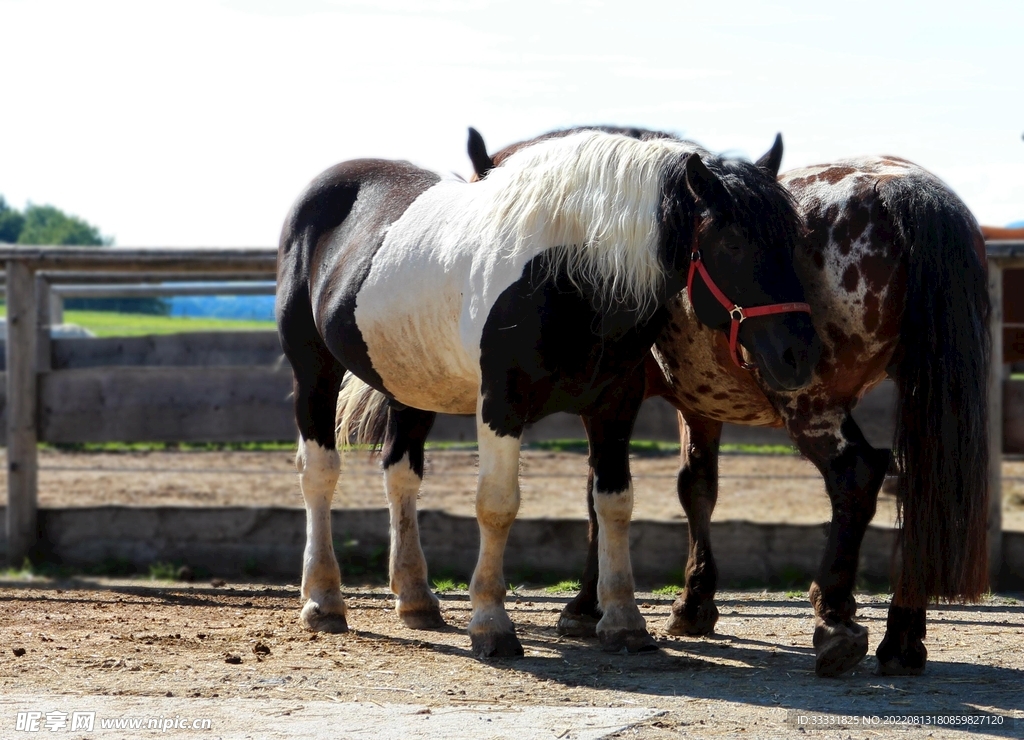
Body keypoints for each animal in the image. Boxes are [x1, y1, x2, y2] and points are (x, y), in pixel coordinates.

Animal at [276, 129, 821, 658]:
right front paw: (491, 623)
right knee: (319, 472)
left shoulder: (614, 405)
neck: (567, 272)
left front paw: (623, 621)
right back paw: (323, 601)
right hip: (313, 369)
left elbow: (614, 502)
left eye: (794, 241)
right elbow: (497, 505)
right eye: (731, 243)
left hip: (410, 384)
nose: (799, 355)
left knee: (401, 474)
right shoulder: (501, 404)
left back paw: (415, 599)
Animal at [470, 129, 990, 676]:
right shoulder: (700, 404)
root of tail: (898, 186)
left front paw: (586, 605)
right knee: (917, 488)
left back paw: (834, 618)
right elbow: (695, 487)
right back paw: (902, 637)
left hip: (811, 403)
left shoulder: (613, 399)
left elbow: (600, 492)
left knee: (857, 475)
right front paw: (694, 601)